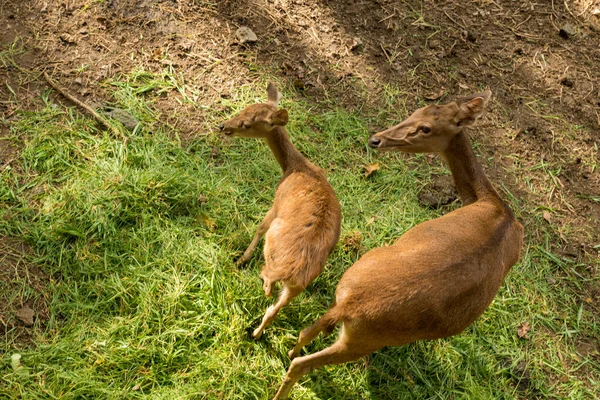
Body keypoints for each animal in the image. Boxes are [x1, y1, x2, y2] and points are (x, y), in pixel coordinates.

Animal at [220, 83, 342, 340]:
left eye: (247, 124)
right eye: (244, 108)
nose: (223, 126)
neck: (295, 167)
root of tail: (292, 271)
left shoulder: (277, 202)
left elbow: (260, 226)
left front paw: (242, 258)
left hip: (275, 247)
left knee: (268, 286)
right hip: (298, 286)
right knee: (273, 309)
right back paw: (256, 334)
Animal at [274, 91, 524, 400]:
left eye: (426, 127)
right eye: (417, 110)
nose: (376, 139)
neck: (497, 206)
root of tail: (350, 306)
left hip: (350, 296)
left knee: (305, 334)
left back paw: (286, 348)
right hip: (366, 339)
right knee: (302, 363)